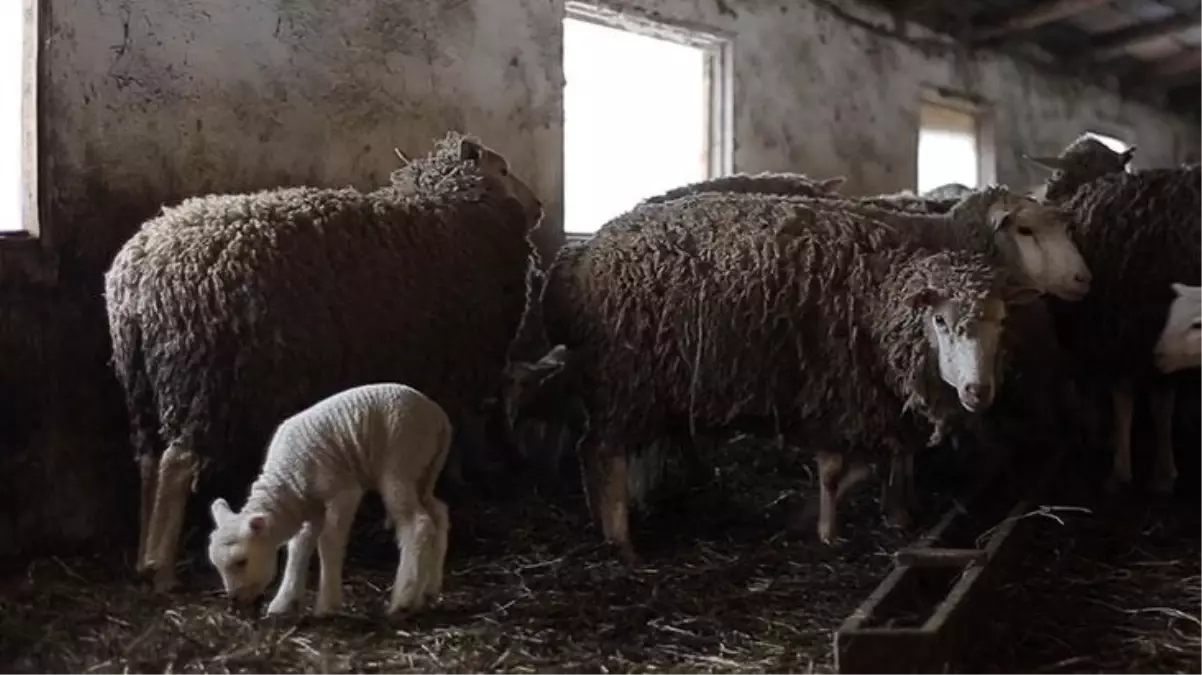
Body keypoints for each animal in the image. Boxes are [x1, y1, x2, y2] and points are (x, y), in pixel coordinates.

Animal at [105, 130, 543, 588]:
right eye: (503, 169)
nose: (540, 208)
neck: (454, 211)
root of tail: (137, 277)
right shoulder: (451, 368)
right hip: (203, 381)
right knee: (176, 466)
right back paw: (162, 570)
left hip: (144, 384)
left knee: (149, 463)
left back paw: (143, 555)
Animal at [206, 381, 451, 612]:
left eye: (241, 561)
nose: (234, 600)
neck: (287, 481)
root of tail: (439, 417)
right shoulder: (311, 504)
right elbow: (299, 546)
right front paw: (284, 602)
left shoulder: (342, 492)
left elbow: (328, 541)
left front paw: (327, 605)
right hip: (424, 471)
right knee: (438, 513)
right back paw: (428, 591)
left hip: (401, 461)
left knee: (418, 523)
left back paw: (404, 599)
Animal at [531, 189, 1028, 557]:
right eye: (940, 321)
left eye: (1003, 323)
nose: (978, 391)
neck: (880, 298)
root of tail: (577, 257)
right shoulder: (837, 388)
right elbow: (834, 469)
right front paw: (827, 531)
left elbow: (873, 461)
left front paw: (882, 517)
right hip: (623, 380)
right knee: (601, 452)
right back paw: (621, 542)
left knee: (595, 452)